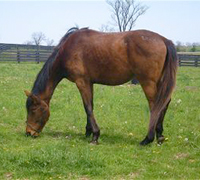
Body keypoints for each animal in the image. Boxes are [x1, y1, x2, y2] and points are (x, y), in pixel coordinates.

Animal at [24, 27, 177, 146]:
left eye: (33, 109)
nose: (29, 133)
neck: (68, 49)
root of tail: (164, 40)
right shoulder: (89, 83)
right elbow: (90, 106)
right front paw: (88, 131)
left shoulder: (81, 82)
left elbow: (88, 108)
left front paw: (95, 136)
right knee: (164, 103)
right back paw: (159, 136)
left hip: (147, 82)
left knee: (155, 105)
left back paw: (148, 138)